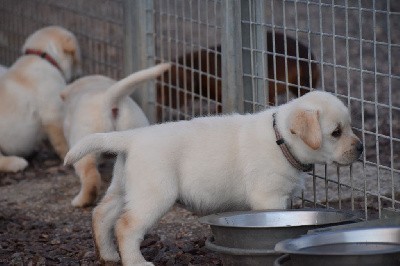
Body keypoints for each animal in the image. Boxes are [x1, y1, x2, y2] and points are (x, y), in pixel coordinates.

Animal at [65, 90, 362, 264]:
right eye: (336, 132)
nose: (360, 148)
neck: (281, 140)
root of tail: (131, 137)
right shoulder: (269, 197)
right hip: (154, 194)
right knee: (126, 226)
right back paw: (135, 261)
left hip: (125, 188)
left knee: (101, 214)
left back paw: (108, 255)